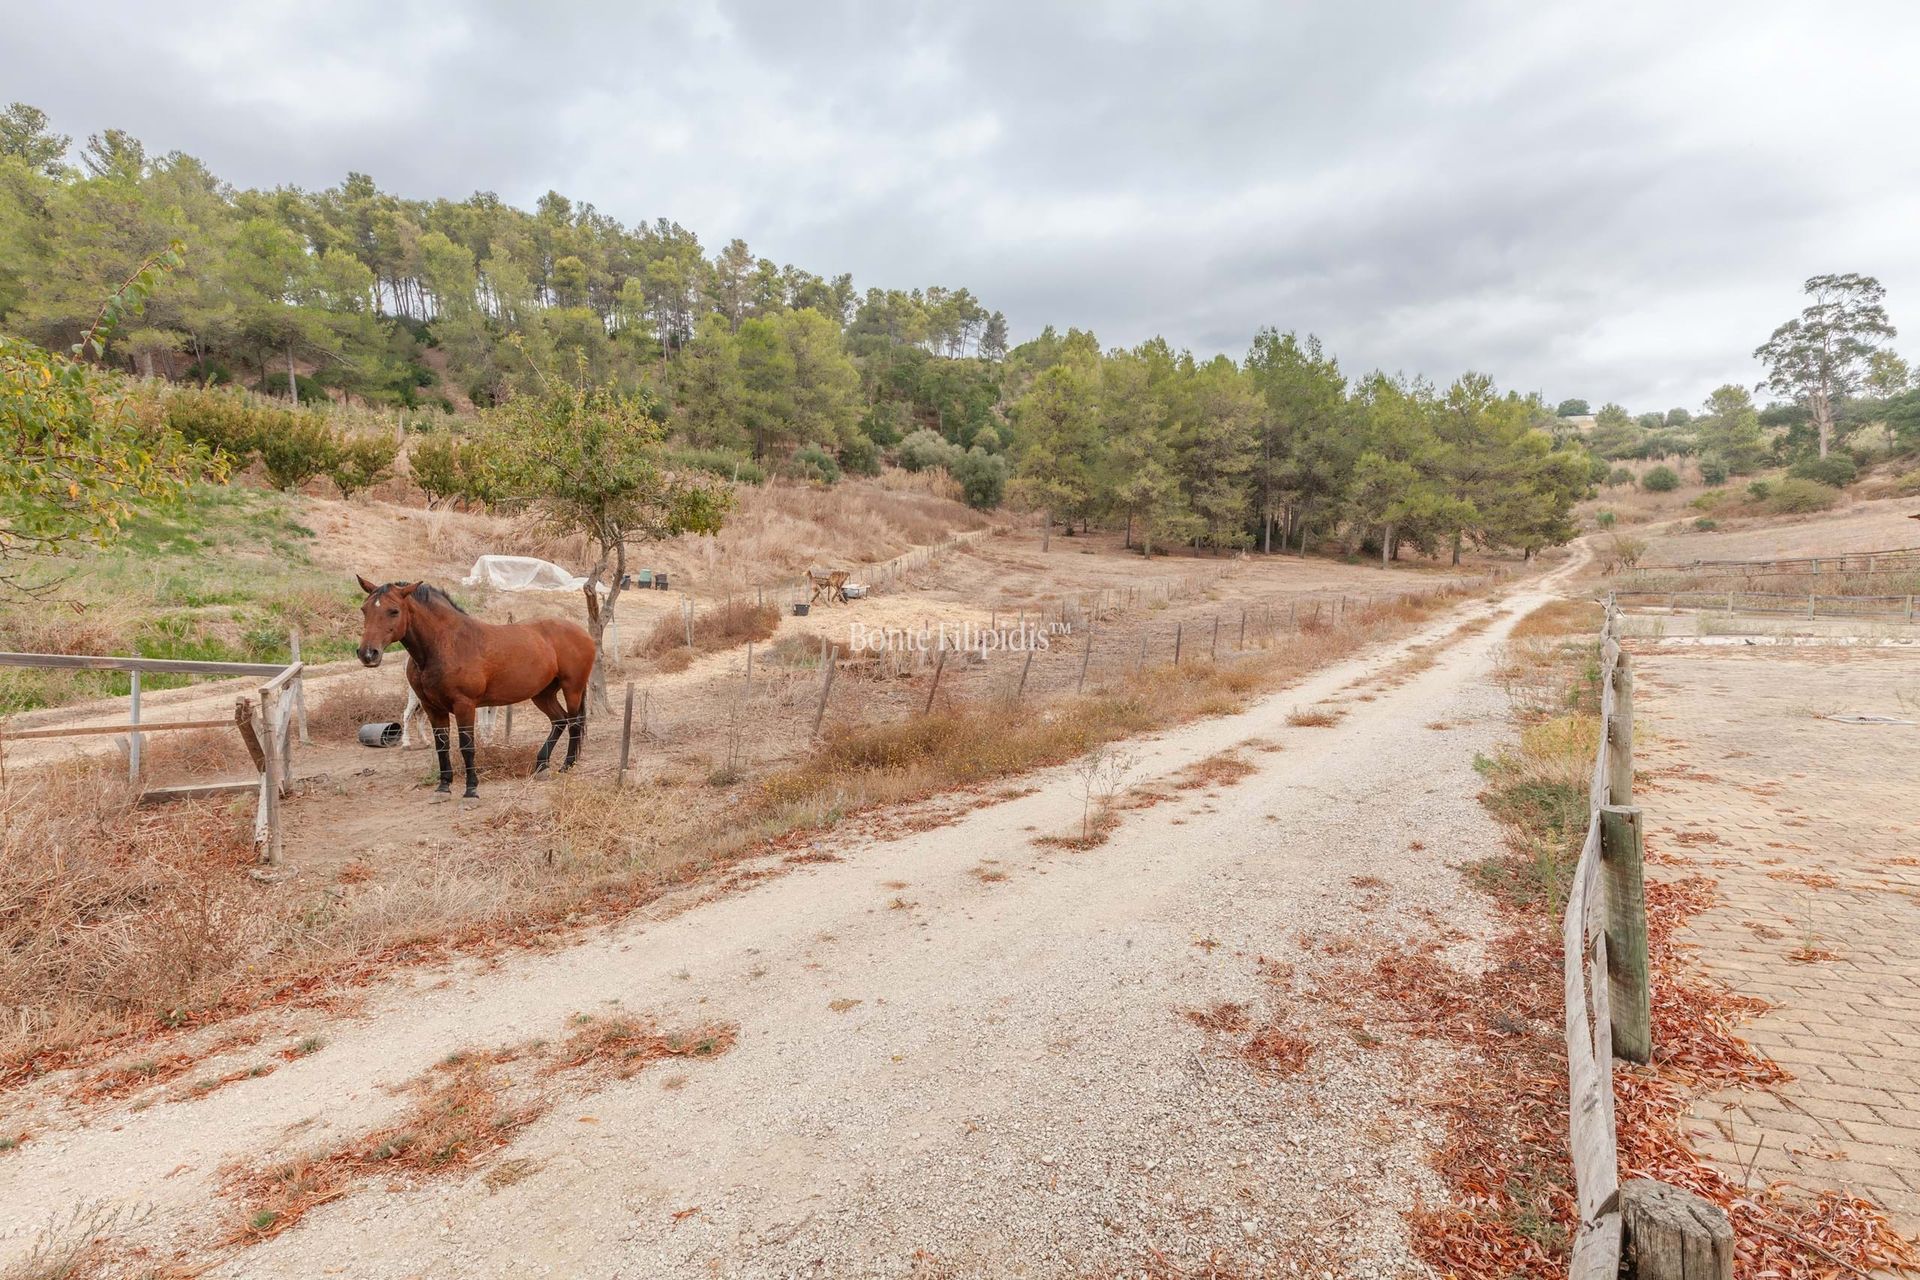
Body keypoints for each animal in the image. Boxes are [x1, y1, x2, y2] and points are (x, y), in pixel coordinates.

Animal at [357, 579, 595, 794]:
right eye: (364, 609)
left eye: (394, 611)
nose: (368, 654)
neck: (447, 644)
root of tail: (582, 632)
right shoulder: (433, 708)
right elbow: (442, 746)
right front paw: (444, 787)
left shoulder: (465, 705)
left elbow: (467, 746)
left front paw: (471, 790)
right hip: (542, 694)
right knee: (559, 721)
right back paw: (542, 765)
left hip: (572, 689)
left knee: (574, 723)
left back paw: (567, 765)